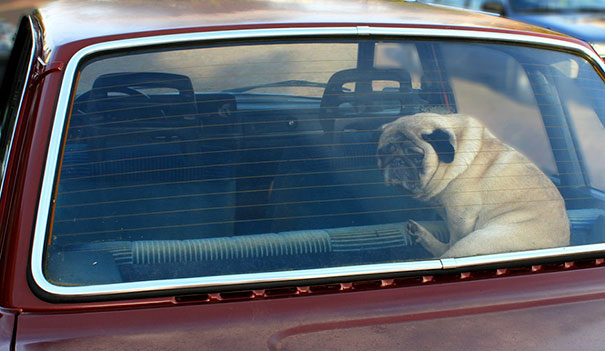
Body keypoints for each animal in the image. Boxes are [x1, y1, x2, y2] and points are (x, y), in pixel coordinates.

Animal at [378, 113, 572, 258]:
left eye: (417, 157)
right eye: (383, 154)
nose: (396, 161)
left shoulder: (461, 216)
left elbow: (454, 238)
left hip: (476, 240)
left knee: (449, 251)